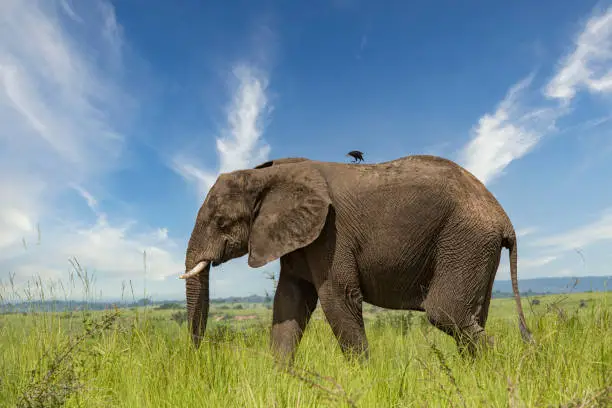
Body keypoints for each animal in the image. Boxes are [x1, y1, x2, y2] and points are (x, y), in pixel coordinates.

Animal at [179, 155, 532, 362]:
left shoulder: (330, 233)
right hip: (477, 247)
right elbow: (289, 302)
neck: (265, 176)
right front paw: (279, 377)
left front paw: (363, 379)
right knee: (471, 316)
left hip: (466, 239)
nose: (197, 360)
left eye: (222, 223)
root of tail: (504, 219)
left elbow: (338, 297)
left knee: (445, 312)